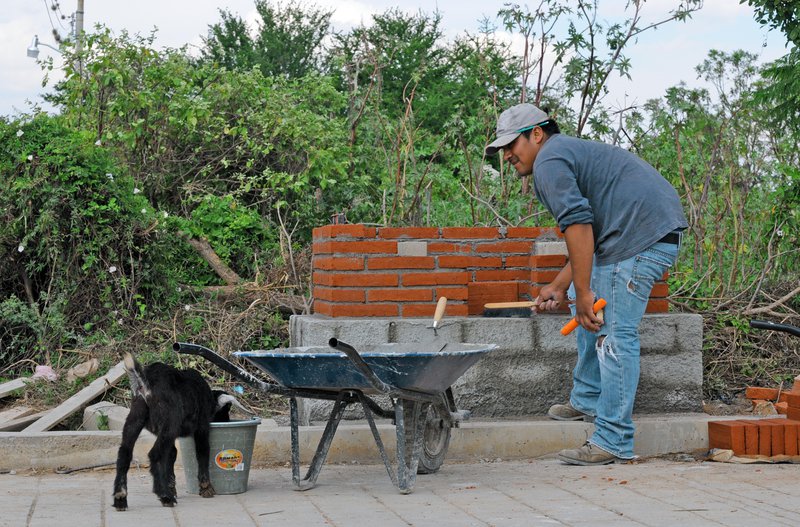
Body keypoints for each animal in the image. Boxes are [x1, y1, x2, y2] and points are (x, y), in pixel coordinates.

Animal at [112, 354, 242, 512]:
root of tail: (146, 383)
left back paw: (120, 498)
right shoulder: (201, 428)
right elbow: (202, 452)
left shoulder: (166, 434)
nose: (227, 420)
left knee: (124, 453)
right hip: (170, 422)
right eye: (226, 409)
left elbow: (172, 454)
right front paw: (206, 488)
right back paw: (164, 496)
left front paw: (172, 487)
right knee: (155, 455)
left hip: (136, 419)